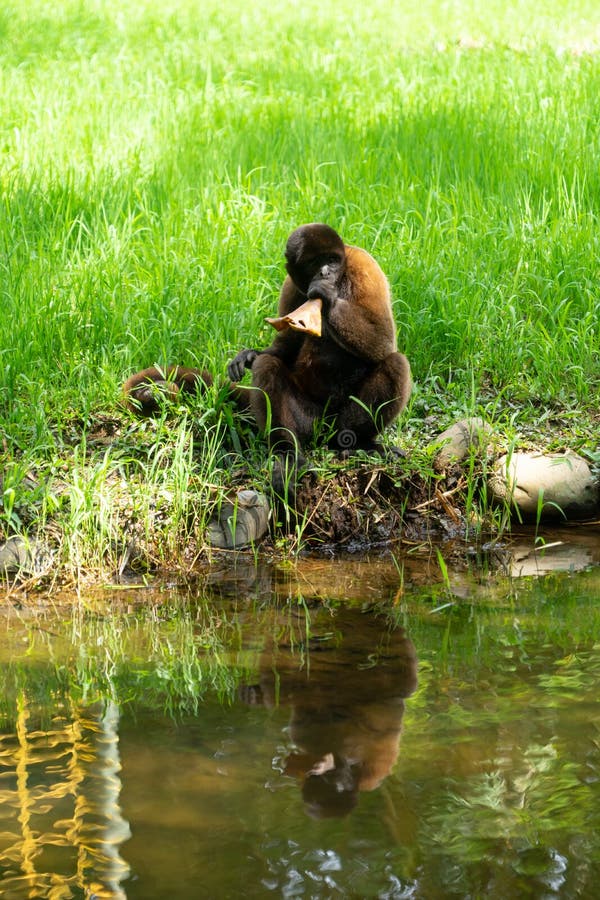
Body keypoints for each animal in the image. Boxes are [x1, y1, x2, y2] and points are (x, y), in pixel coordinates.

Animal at [227, 224, 412, 465]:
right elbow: (287, 344)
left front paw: (327, 297)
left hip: (342, 419)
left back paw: (356, 443)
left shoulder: (365, 267)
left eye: (332, 260)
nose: (325, 273)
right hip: (309, 421)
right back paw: (287, 451)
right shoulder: (290, 284)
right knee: (267, 365)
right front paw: (250, 355)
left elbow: (384, 338)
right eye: (314, 262)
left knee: (396, 363)